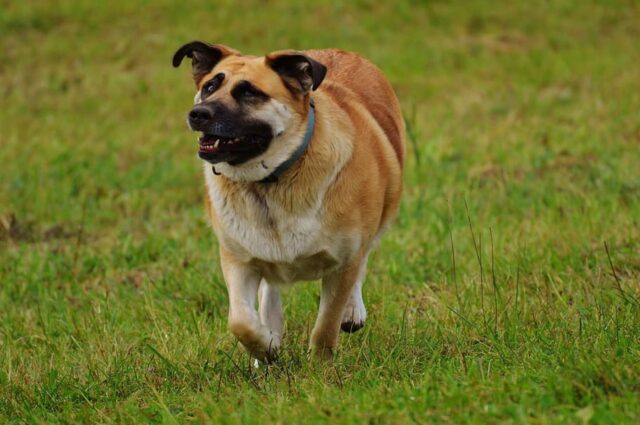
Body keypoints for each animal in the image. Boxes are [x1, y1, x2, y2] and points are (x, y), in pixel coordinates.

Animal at [172, 39, 402, 360]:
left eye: (249, 92)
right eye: (209, 86)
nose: (198, 113)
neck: (270, 181)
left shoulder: (344, 259)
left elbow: (327, 323)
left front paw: (320, 363)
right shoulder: (238, 259)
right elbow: (240, 320)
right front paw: (266, 347)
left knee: (363, 261)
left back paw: (352, 311)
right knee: (269, 291)